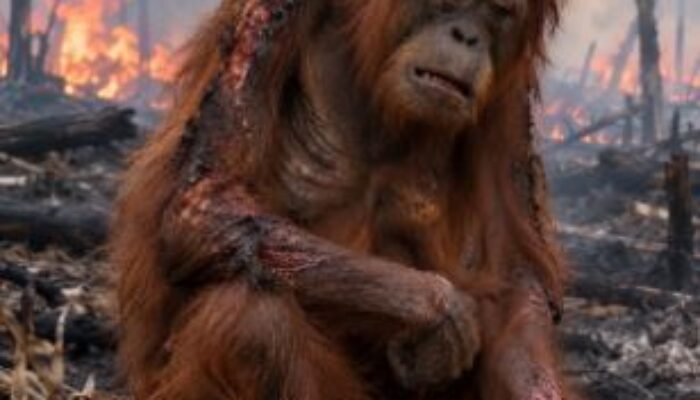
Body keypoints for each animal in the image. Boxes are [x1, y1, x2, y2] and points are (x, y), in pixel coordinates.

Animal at [111, 0, 573, 399]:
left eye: (499, 11)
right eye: (448, 2)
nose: (466, 36)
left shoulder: (511, 99)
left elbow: (514, 276)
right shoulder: (269, 17)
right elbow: (207, 200)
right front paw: (436, 307)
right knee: (251, 324)